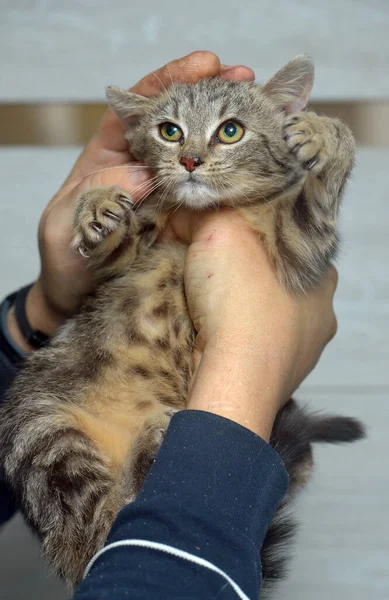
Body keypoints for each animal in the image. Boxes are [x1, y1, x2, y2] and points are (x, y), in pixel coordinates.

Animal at [0, 57, 364, 596]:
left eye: (230, 131)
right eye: (169, 132)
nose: (190, 160)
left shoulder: (297, 254)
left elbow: (313, 208)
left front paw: (325, 134)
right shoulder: (118, 264)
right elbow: (110, 248)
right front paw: (96, 205)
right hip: (41, 423)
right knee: (97, 531)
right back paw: (147, 452)